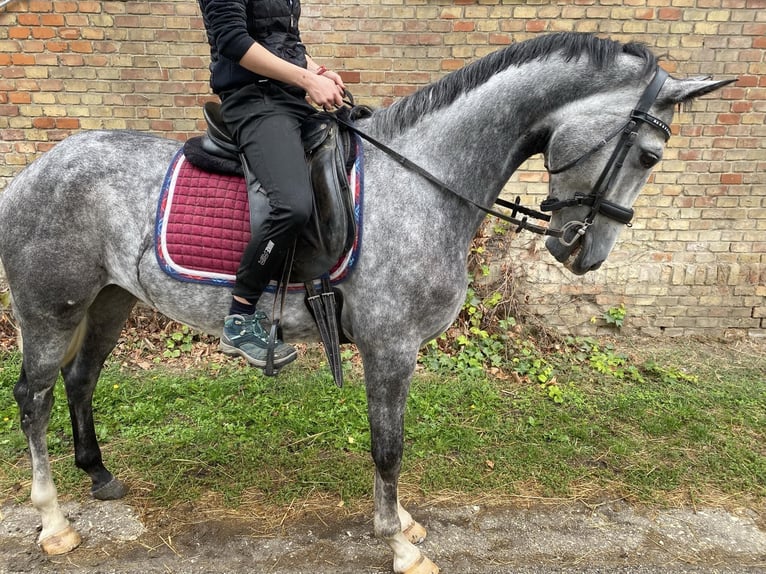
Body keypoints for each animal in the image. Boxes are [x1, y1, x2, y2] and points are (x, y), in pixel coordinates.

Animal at [0, 33, 732, 572]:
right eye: (650, 153)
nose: (587, 254)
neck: (423, 179)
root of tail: (30, 173)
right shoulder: (391, 346)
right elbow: (389, 447)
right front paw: (400, 543)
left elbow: (391, 446)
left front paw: (401, 522)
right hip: (51, 309)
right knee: (33, 397)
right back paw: (54, 520)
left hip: (109, 301)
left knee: (80, 380)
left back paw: (98, 476)